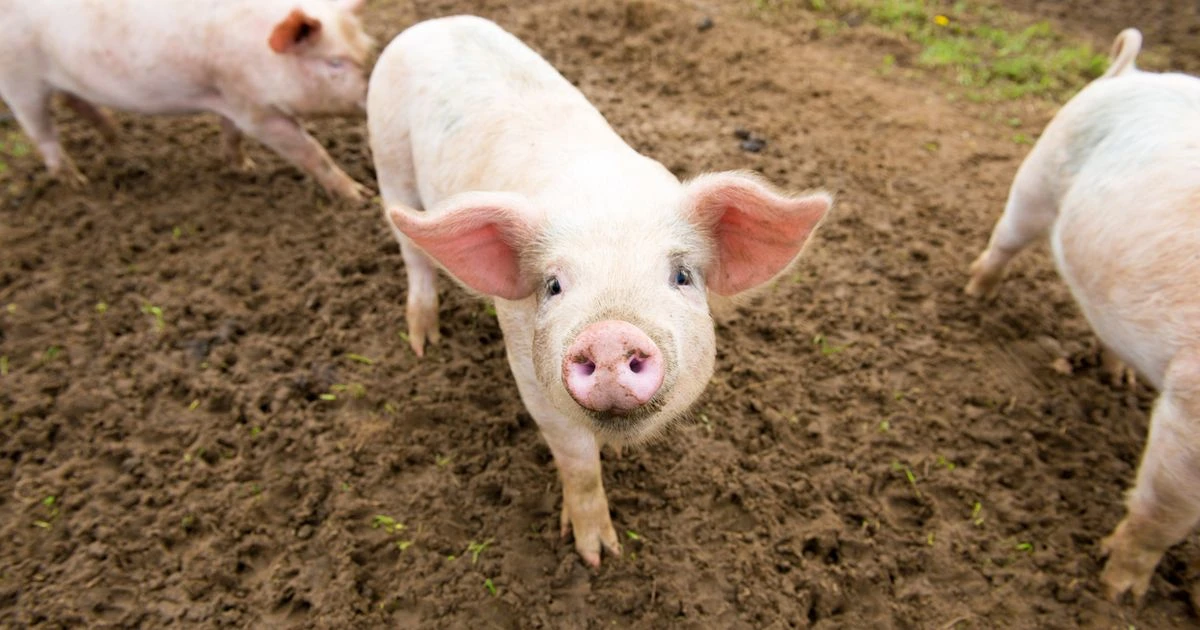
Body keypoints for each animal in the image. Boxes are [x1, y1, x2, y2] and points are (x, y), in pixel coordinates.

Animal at [0, 0, 373, 200]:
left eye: (366, 49)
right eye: (334, 63)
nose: (372, 96)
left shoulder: (229, 97)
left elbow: (231, 134)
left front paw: (244, 168)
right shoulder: (255, 110)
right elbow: (311, 151)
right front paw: (358, 195)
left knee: (76, 103)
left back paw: (118, 145)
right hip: (19, 81)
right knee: (42, 133)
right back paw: (77, 183)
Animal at [367, 16, 832, 566]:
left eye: (682, 276)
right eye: (553, 285)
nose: (609, 335)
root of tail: (434, 22)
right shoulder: (530, 371)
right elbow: (578, 462)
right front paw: (598, 555)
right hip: (387, 155)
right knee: (413, 252)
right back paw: (424, 342)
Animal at [965, 28, 1200, 603]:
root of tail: (1131, 71)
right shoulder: (1191, 400)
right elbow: (1164, 512)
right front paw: (1118, 594)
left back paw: (1120, 381)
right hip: (1036, 181)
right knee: (1004, 242)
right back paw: (977, 295)